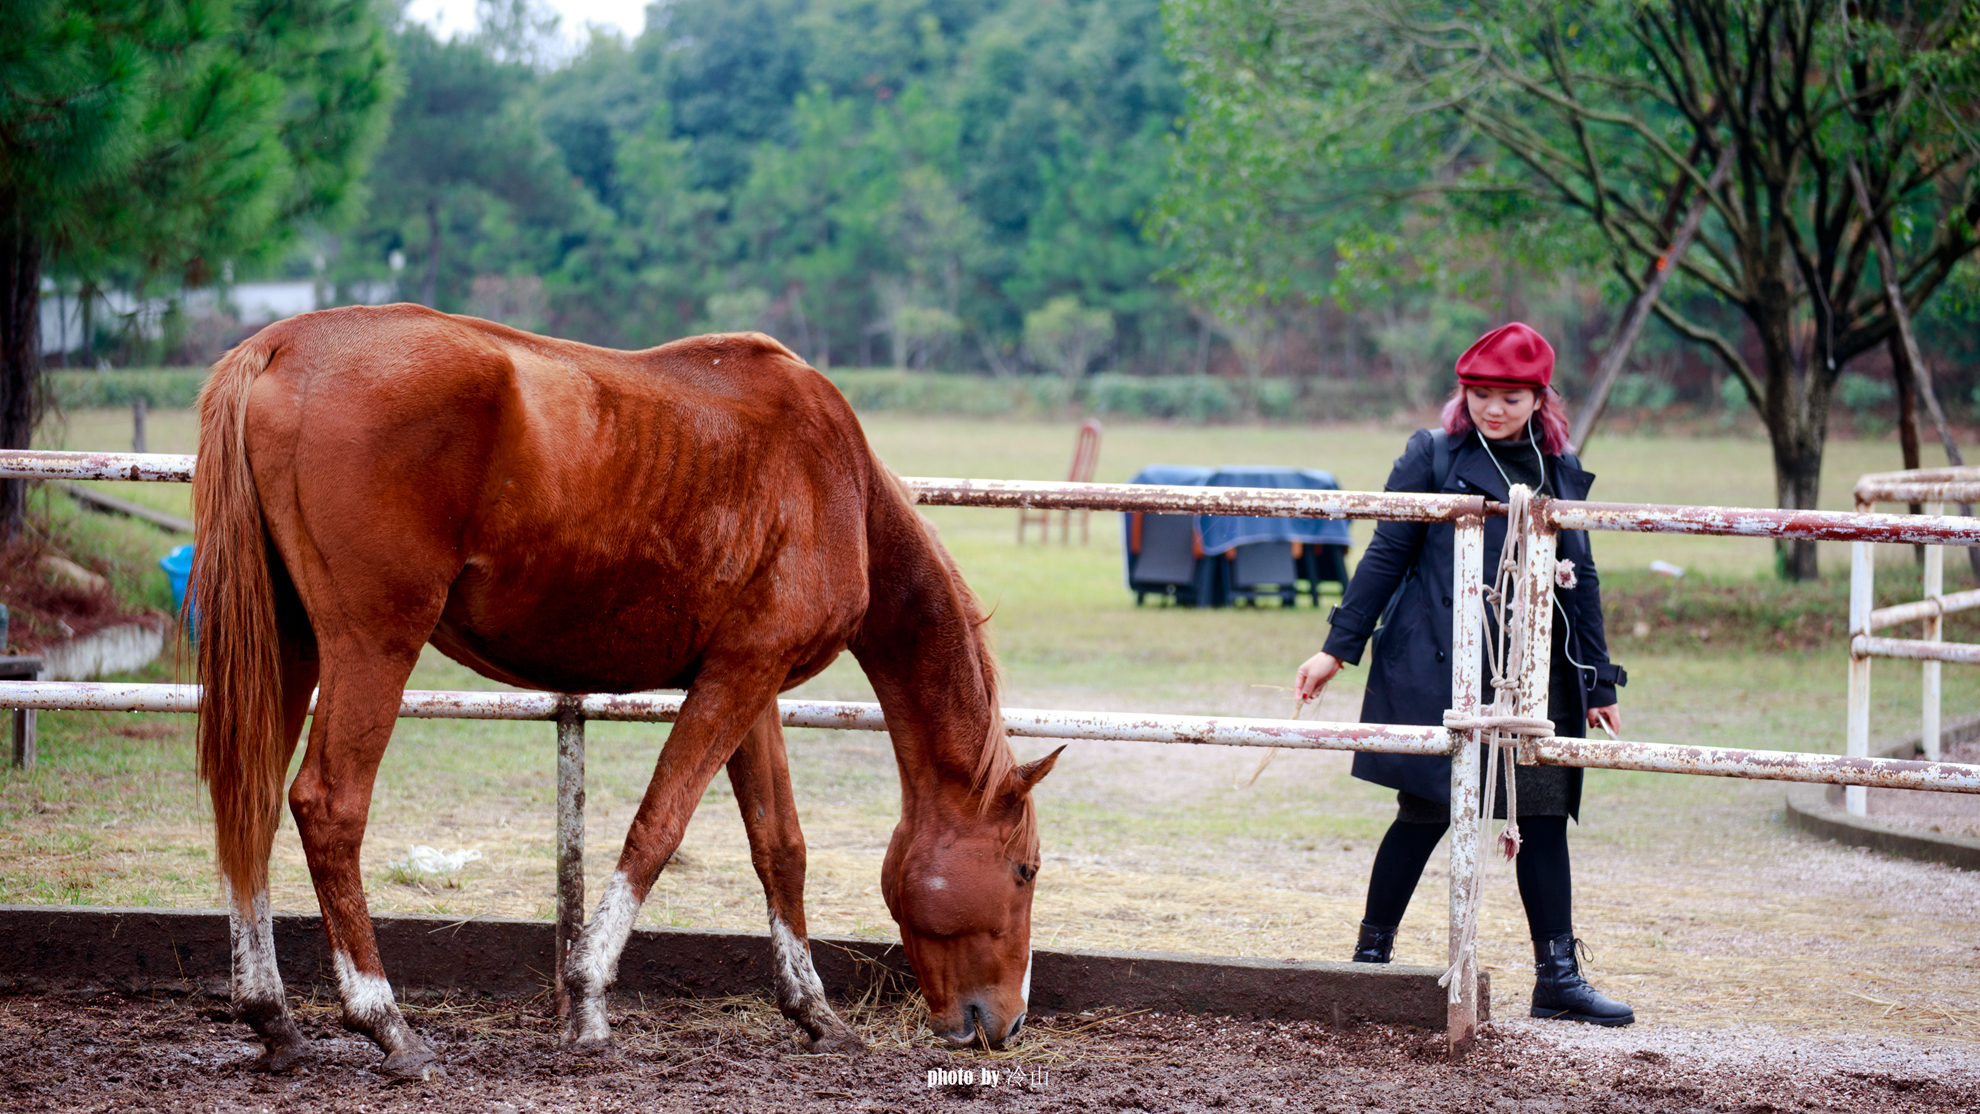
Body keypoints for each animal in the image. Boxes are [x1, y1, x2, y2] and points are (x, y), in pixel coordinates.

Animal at [193, 304, 1061, 1084]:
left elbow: (780, 847)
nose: (1008, 1023)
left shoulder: (750, 683)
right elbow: (659, 828)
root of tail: (281, 344)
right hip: (372, 643)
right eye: (1024, 870)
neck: (838, 481)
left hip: (293, 646)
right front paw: (587, 1004)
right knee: (328, 805)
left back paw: (272, 1017)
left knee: (251, 805)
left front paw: (815, 1013)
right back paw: (388, 1025)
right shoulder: (739, 678)